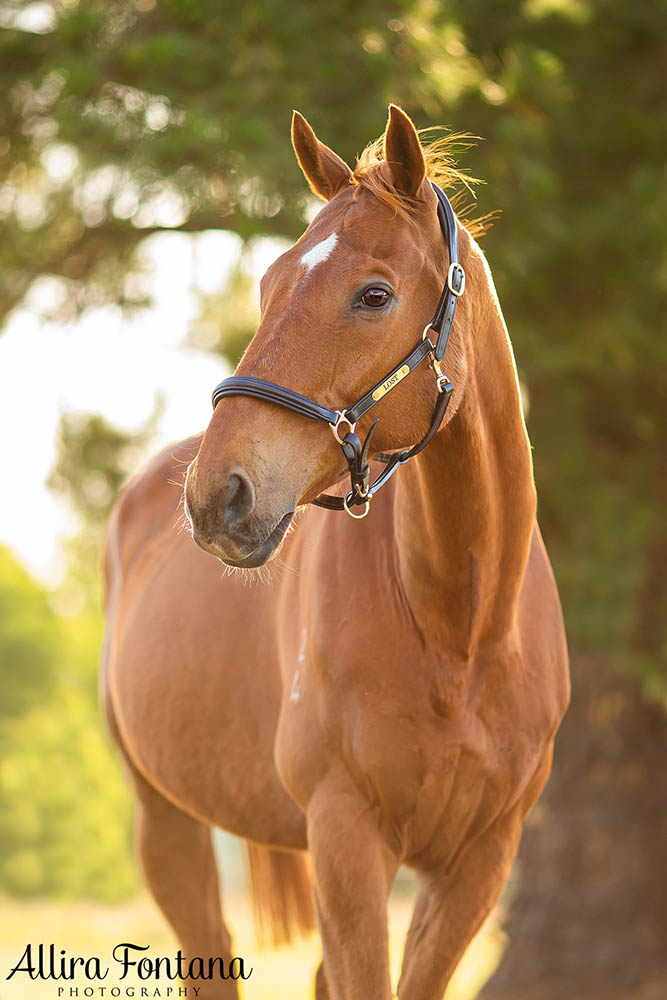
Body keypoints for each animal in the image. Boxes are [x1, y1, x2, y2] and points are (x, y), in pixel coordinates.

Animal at [103, 105, 568, 996]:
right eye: (265, 286)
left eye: (373, 295)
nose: (218, 494)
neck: (459, 633)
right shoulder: (348, 841)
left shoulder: (476, 864)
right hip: (166, 825)